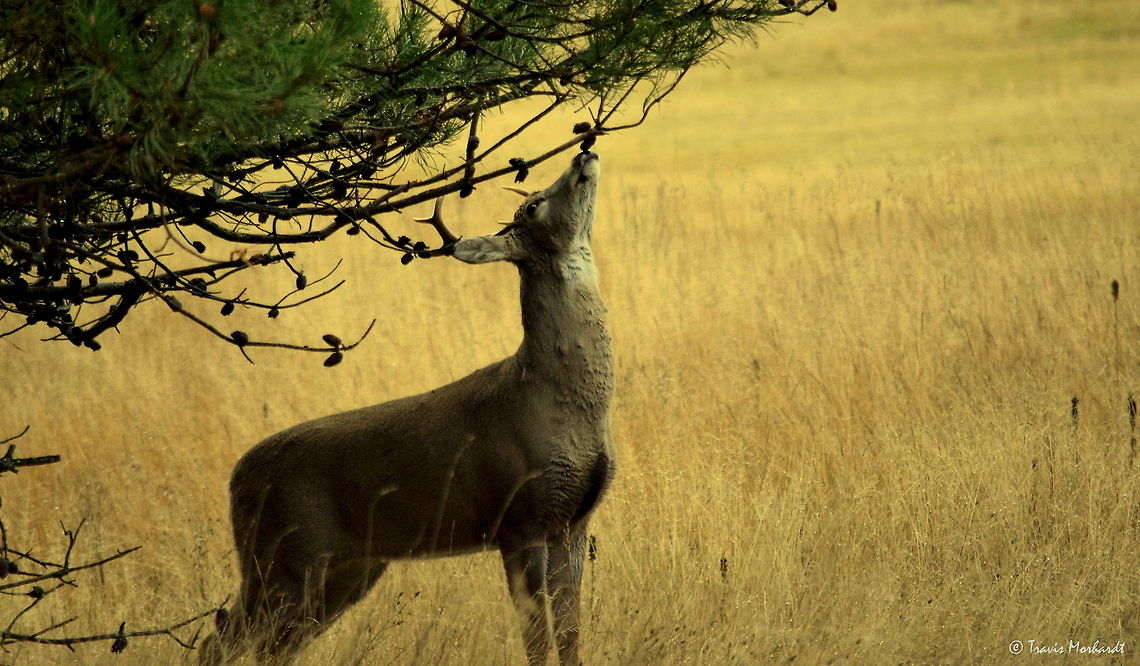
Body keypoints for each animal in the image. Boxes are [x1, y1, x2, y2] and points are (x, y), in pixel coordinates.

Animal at [200, 151, 614, 666]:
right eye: (534, 204)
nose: (583, 153)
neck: (553, 397)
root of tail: (236, 479)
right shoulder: (518, 518)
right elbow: (537, 637)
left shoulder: (573, 522)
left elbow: (571, 631)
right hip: (281, 554)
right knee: (222, 640)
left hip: (344, 568)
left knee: (270, 645)